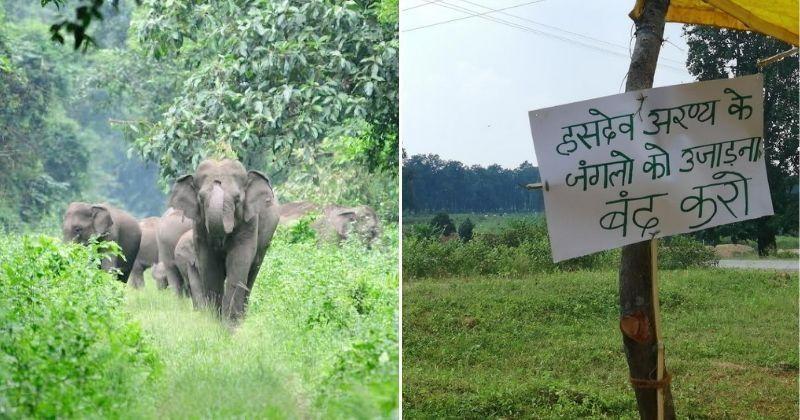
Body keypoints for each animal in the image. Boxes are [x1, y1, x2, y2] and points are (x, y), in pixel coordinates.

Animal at [170, 159, 280, 320]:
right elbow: (210, 266)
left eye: (237, 199)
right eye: (201, 198)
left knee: (252, 272)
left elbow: (238, 263)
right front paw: (214, 322)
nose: (217, 181)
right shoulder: (199, 226)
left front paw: (230, 324)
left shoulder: (250, 222)